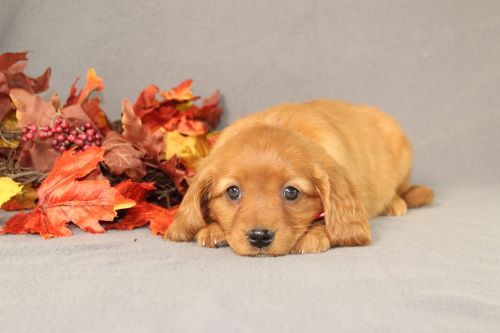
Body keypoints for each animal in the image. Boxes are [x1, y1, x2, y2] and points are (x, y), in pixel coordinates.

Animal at [166, 100, 432, 255]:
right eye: (233, 191)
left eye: (291, 192)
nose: (259, 237)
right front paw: (213, 230)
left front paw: (315, 235)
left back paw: (395, 203)